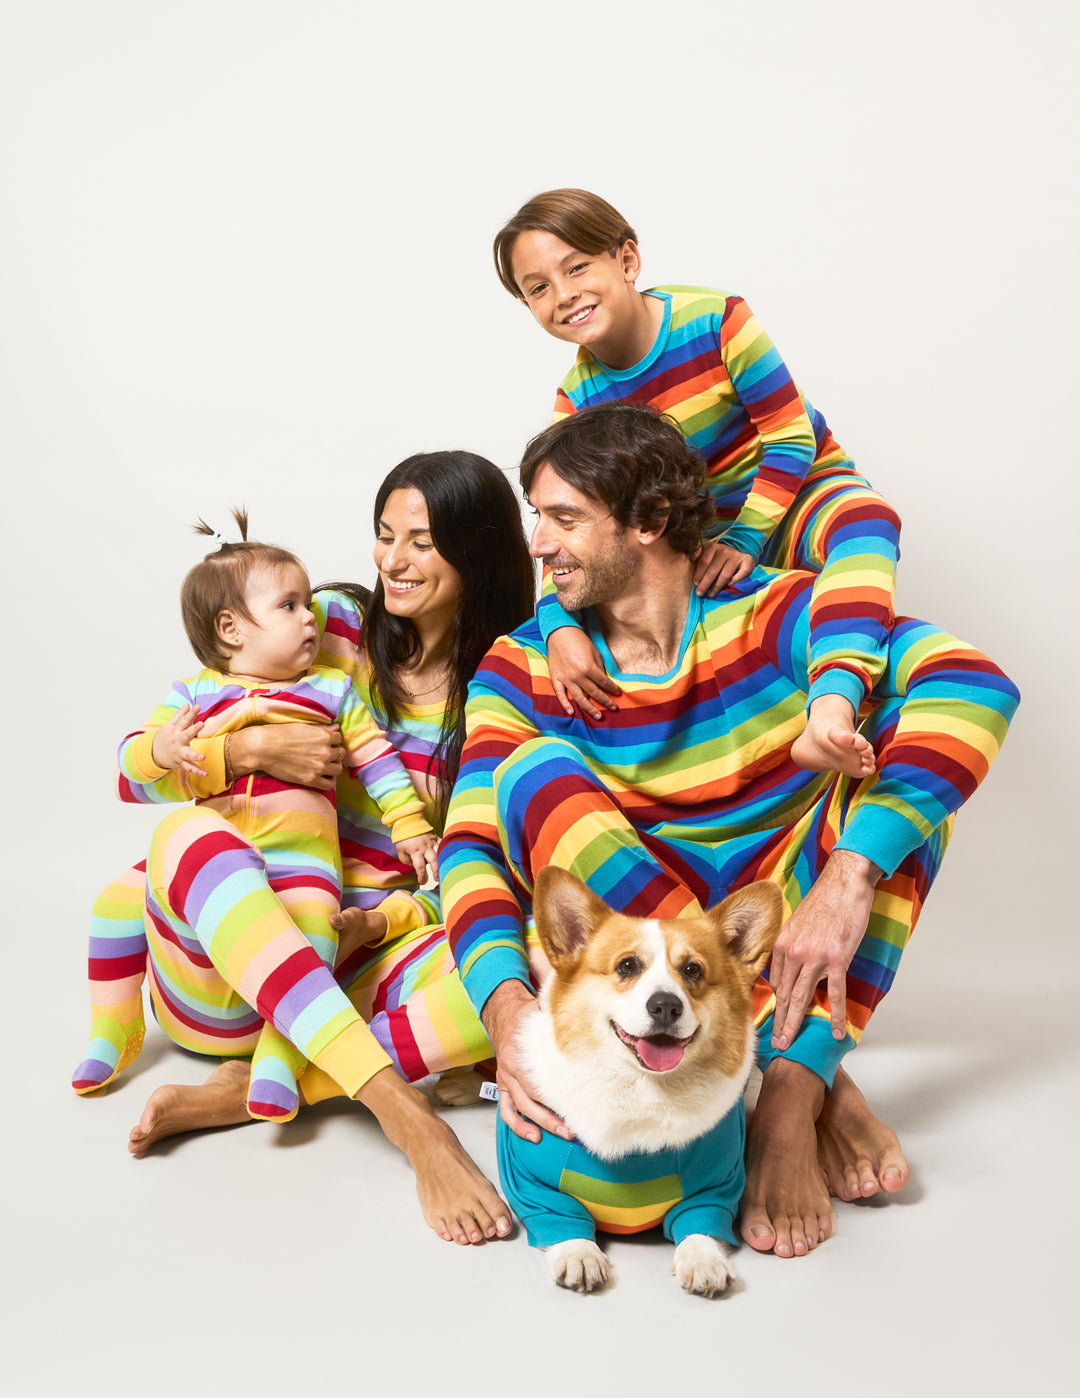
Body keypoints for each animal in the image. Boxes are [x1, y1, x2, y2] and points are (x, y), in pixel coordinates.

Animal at [497, 866, 782, 1291]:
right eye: (627, 966)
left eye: (693, 970)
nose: (665, 1005)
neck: (642, 1089)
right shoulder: (534, 1186)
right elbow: (563, 1220)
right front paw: (580, 1255)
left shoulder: (715, 1187)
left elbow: (700, 1224)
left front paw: (703, 1260)